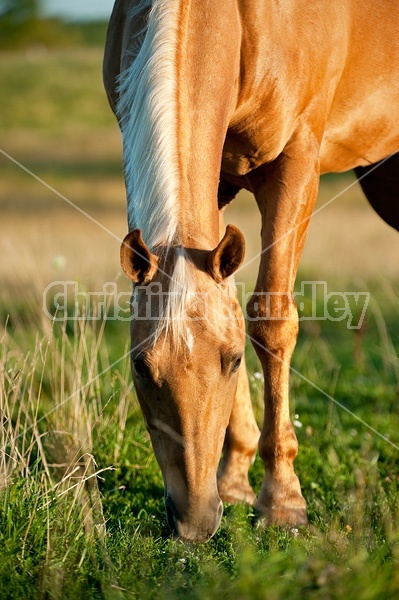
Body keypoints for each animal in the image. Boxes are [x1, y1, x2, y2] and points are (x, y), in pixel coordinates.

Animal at [104, 0, 399, 540]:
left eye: (234, 360)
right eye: (139, 365)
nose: (195, 519)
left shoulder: (296, 162)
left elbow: (270, 318)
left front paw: (282, 500)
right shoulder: (218, 183)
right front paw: (235, 477)